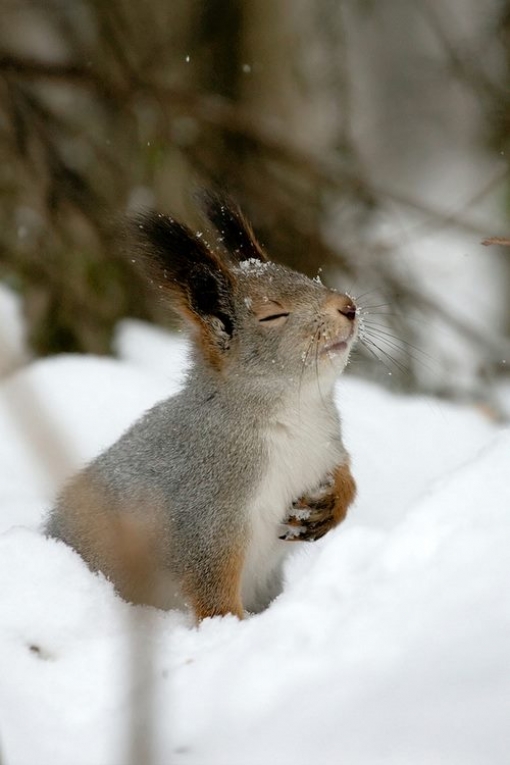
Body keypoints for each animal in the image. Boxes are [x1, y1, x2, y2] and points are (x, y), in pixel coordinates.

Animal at [45, 191, 358, 621]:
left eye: (308, 278)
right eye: (273, 315)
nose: (349, 306)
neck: (296, 413)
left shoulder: (327, 445)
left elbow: (345, 475)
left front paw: (332, 503)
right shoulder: (207, 509)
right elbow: (211, 585)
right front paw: (230, 627)